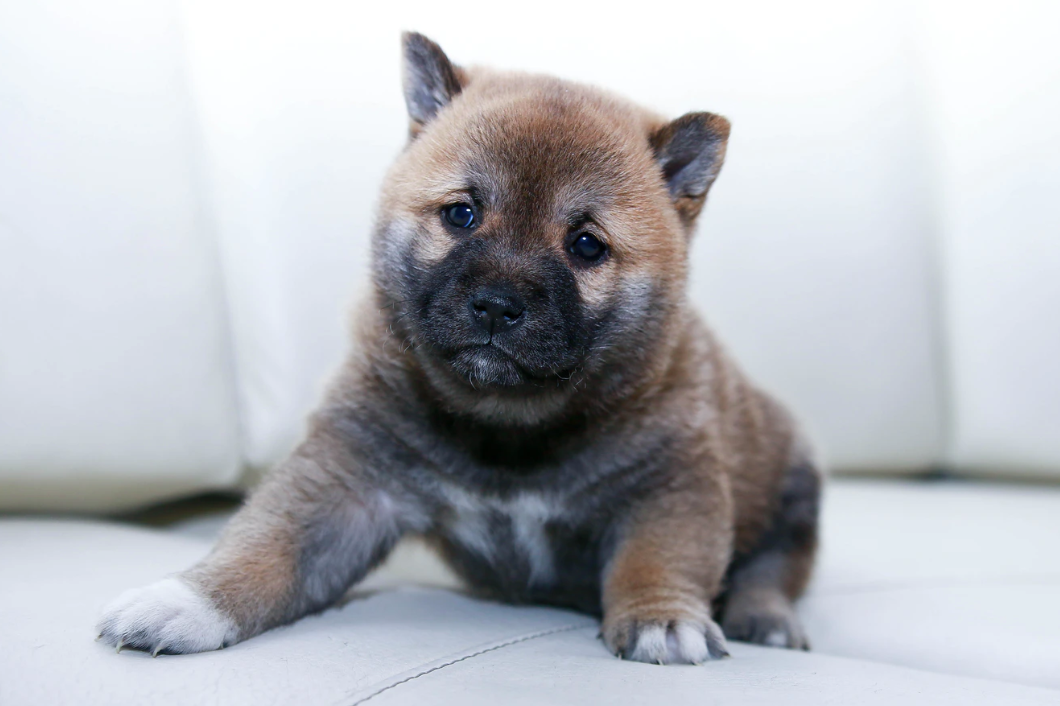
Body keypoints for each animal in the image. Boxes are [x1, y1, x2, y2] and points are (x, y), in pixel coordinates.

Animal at [97, 31, 818, 661]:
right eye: (461, 214)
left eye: (586, 245)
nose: (497, 305)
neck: (507, 433)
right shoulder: (349, 481)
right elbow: (266, 545)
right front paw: (186, 602)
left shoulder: (669, 487)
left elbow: (657, 559)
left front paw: (663, 620)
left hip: (791, 484)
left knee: (775, 566)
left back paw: (764, 618)